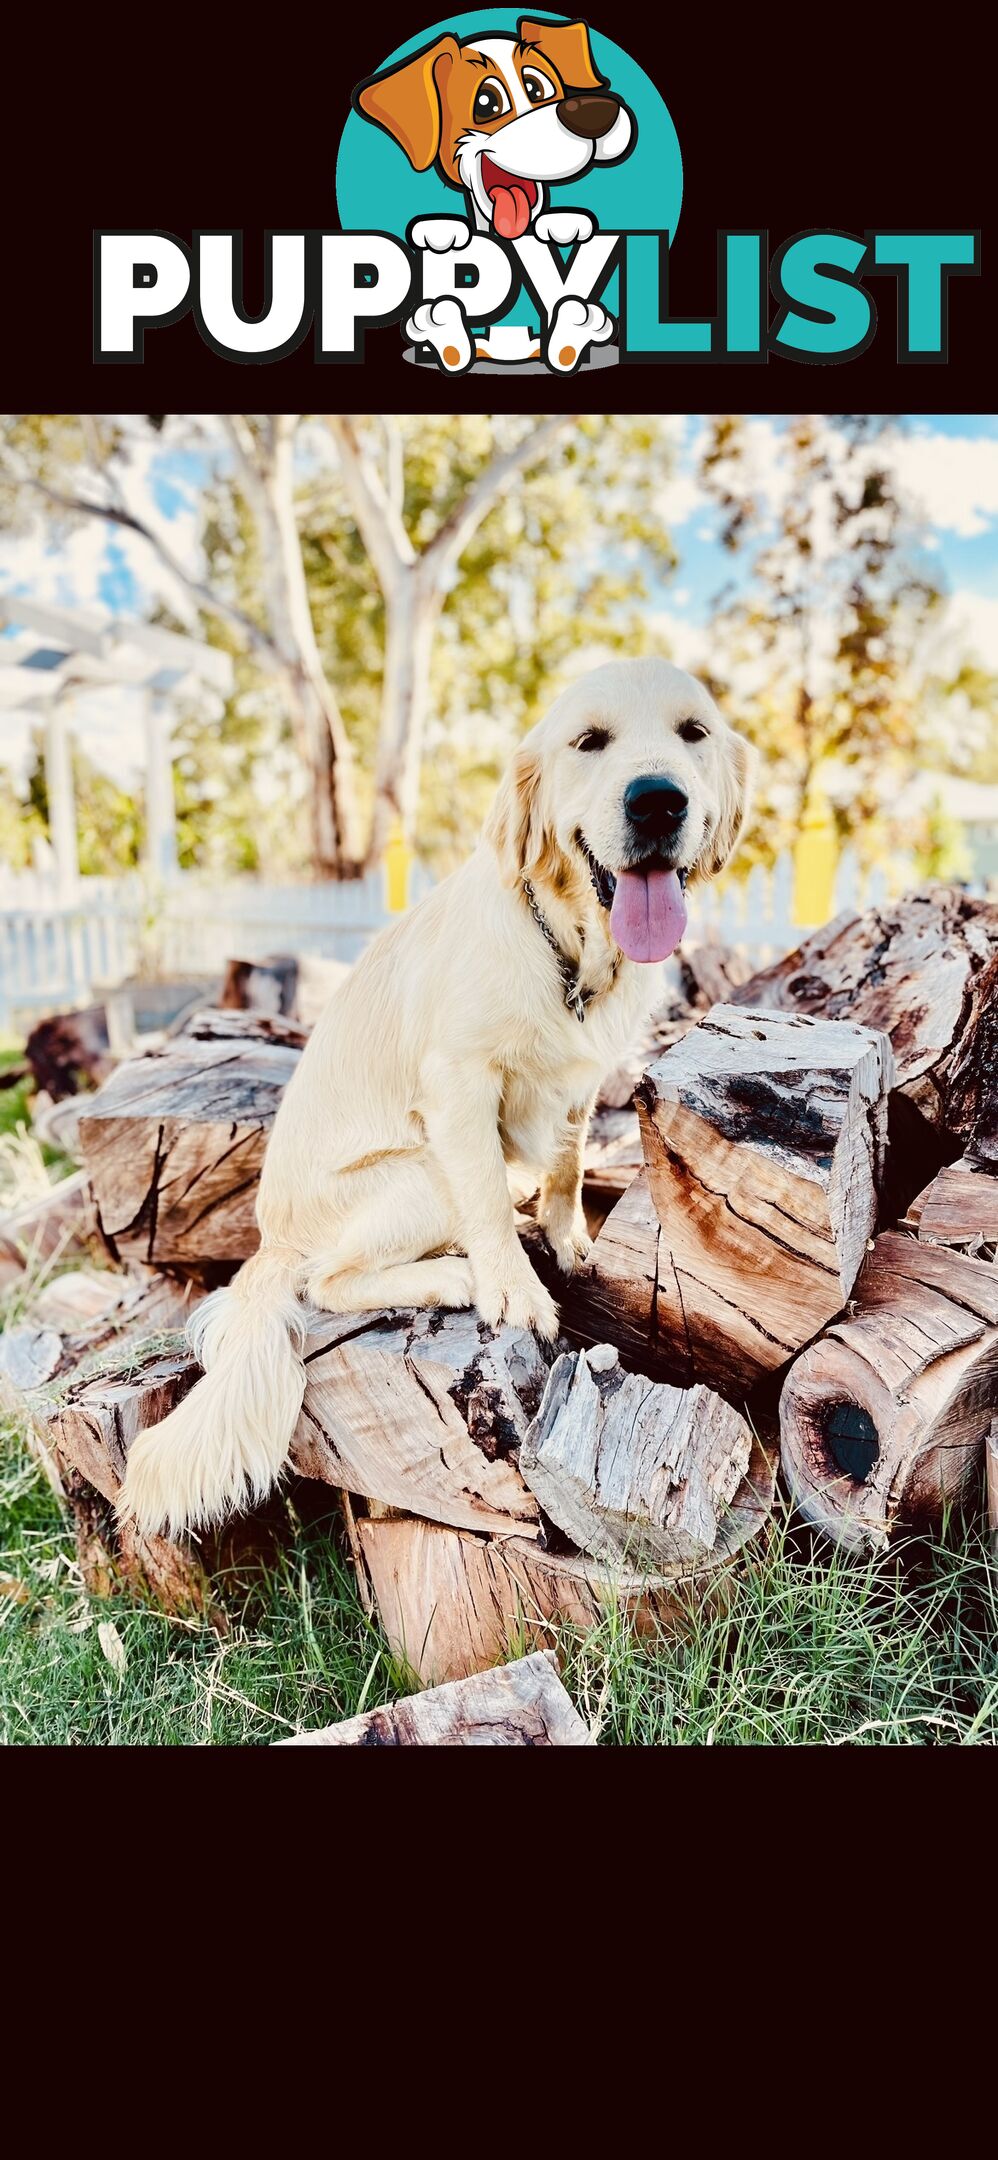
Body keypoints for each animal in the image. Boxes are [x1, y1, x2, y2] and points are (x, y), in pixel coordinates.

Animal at [120, 656, 751, 1537]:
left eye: (693, 732)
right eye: (589, 741)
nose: (658, 800)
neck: (567, 948)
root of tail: (269, 1240)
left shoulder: (582, 1082)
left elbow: (566, 1168)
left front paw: (568, 1240)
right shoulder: (459, 1082)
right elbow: (487, 1197)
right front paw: (514, 1287)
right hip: (416, 1173)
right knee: (328, 1280)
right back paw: (450, 1275)